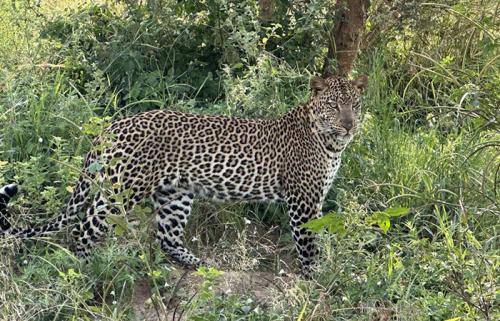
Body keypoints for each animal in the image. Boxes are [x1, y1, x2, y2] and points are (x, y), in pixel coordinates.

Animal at [0, 74, 368, 272]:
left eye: (355, 105)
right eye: (334, 105)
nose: (350, 125)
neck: (329, 141)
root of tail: (113, 126)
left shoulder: (313, 201)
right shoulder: (303, 202)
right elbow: (308, 245)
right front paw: (312, 279)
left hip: (174, 194)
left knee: (167, 238)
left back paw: (199, 264)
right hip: (122, 189)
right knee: (83, 226)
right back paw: (87, 270)